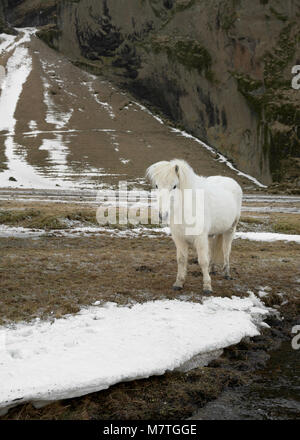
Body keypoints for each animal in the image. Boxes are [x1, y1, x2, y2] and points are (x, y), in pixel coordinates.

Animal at [146, 160, 243, 294]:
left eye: (174, 186)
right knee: (213, 250)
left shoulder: (200, 238)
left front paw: (207, 286)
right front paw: (179, 283)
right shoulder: (179, 238)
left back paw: (227, 273)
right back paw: (212, 269)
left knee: (226, 250)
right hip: (212, 234)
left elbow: (203, 261)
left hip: (230, 229)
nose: (162, 215)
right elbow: (181, 260)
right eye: (156, 186)